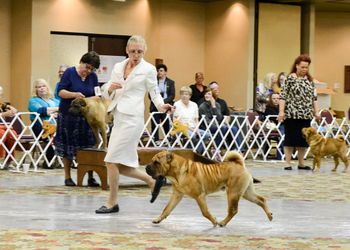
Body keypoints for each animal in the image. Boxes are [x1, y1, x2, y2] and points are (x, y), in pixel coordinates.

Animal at [145, 150, 274, 227]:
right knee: (261, 200)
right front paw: (158, 219)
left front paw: (215, 221)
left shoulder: (199, 196)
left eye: (156, 162)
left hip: (233, 193)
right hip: (246, 193)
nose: (146, 167)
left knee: (233, 210)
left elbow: (205, 212)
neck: (177, 172)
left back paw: (222, 223)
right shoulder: (177, 195)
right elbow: (167, 209)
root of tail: (239, 164)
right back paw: (270, 215)